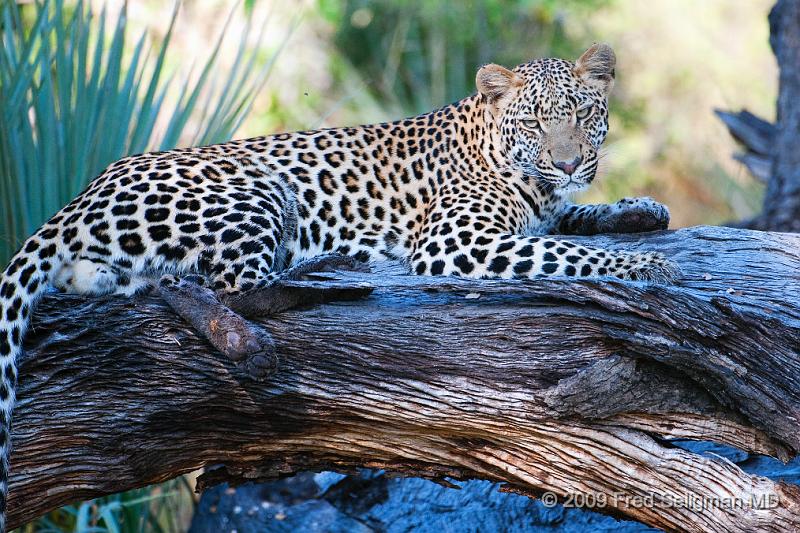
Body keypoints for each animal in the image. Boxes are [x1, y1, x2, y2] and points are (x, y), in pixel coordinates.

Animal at [0, 42, 680, 528]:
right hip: (257, 187)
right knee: (240, 284)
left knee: (177, 285)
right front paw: (652, 268)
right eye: (536, 121)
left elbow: (574, 221)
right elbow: (568, 251)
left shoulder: (540, 214)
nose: (568, 162)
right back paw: (333, 275)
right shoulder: (455, 241)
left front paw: (639, 211)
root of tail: (78, 198)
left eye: (583, 115)